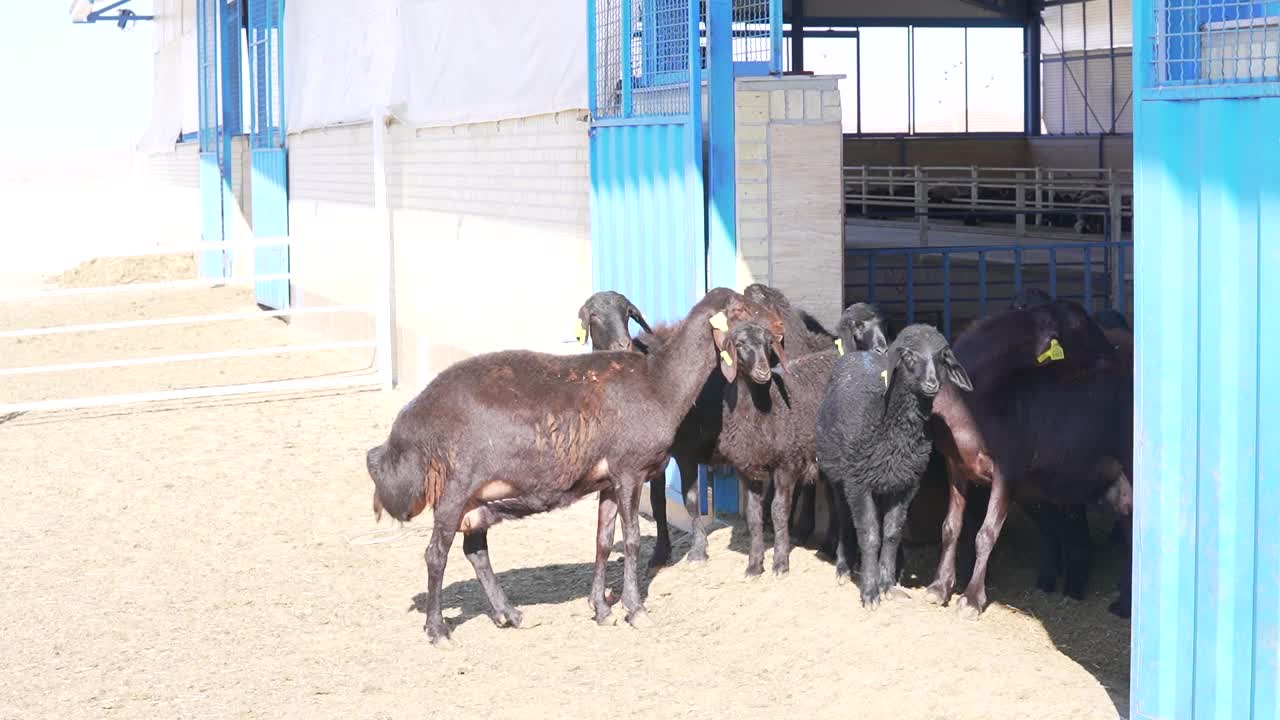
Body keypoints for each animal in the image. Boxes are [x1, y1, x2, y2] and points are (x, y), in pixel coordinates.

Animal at [819, 322, 967, 602]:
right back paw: (843, 567)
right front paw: (869, 591)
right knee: (844, 517)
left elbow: (891, 533)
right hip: (837, 475)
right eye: (909, 357)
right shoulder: (857, 483)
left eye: (942, 358)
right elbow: (869, 535)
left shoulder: (906, 484)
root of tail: (858, 355)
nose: (931, 383)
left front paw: (886, 583)